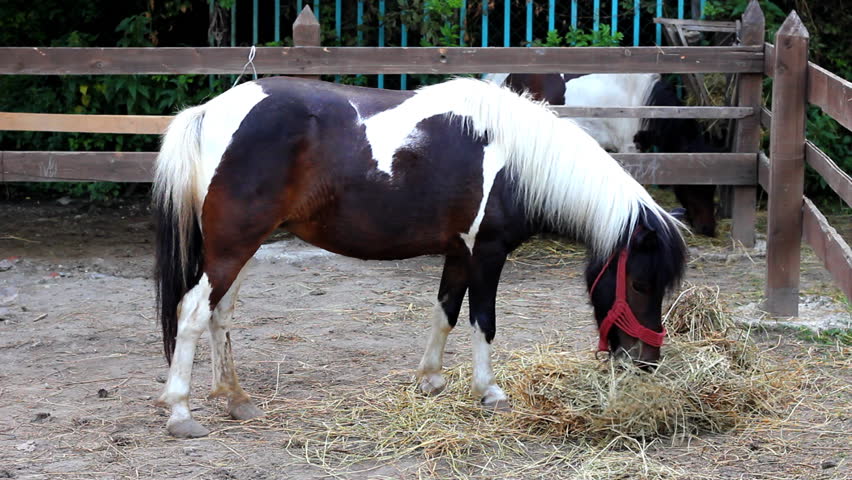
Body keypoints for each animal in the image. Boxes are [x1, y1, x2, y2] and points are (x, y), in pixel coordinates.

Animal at [153, 76, 687, 438]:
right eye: (640, 284)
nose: (647, 363)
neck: (517, 160)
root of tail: (208, 112)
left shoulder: (458, 254)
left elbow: (444, 312)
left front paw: (430, 380)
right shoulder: (486, 252)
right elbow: (483, 321)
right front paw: (489, 392)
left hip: (242, 247)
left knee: (221, 314)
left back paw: (236, 400)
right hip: (232, 246)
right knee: (194, 312)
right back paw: (181, 412)